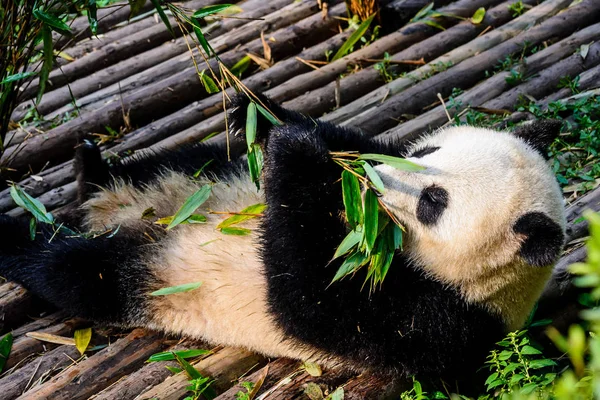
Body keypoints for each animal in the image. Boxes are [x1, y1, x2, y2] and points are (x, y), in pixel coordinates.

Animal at [0, 94, 564, 378]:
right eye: (426, 153)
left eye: (433, 201)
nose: (372, 181)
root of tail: (118, 214)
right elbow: (340, 136)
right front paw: (266, 114)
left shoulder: (439, 318)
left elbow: (311, 300)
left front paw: (298, 155)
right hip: (208, 172)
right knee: (165, 164)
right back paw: (90, 168)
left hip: (157, 274)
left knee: (79, 272)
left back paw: (22, 235)